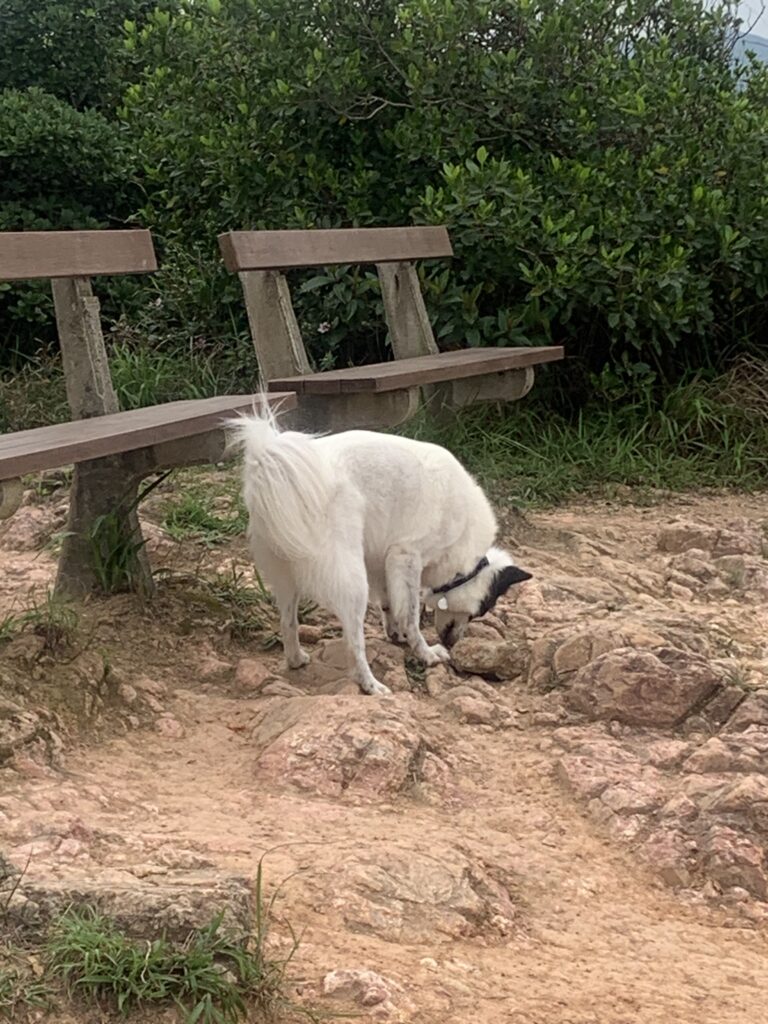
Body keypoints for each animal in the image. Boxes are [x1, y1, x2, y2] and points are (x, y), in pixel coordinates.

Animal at [227, 407, 528, 696]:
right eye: (479, 613)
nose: (453, 644)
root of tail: (269, 462)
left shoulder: (383, 563)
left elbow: (389, 604)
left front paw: (396, 634)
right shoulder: (406, 556)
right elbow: (411, 616)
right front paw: (426, 652)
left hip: (287, 580)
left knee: (288, 622)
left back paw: (296, 659)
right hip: (353, 583)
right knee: (354, 643)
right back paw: (370, 685)